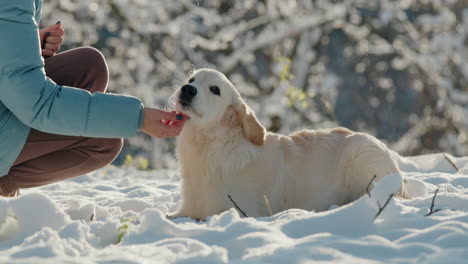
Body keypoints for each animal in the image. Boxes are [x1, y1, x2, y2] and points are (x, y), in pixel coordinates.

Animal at [173, 68, 406, 221]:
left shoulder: (240, 210)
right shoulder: (188, 208)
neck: (209, 145)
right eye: (192, 79)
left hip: (363, 153)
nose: (187, 89)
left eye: (215, 89)